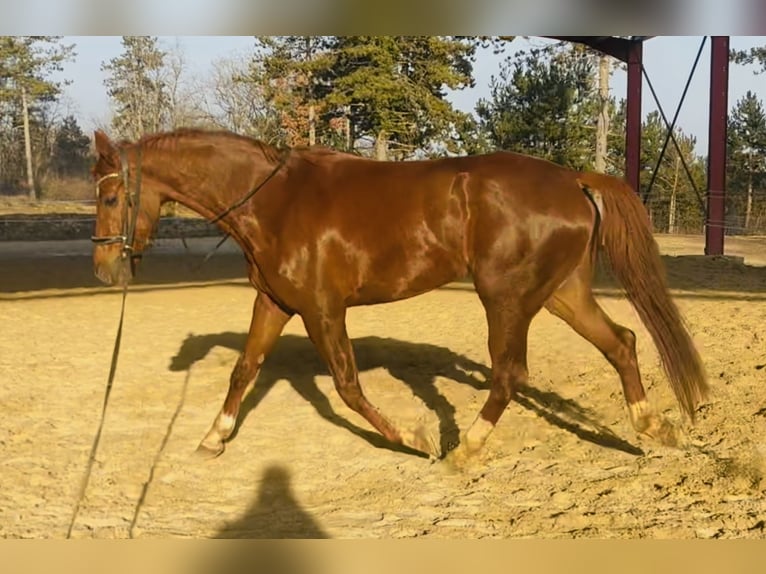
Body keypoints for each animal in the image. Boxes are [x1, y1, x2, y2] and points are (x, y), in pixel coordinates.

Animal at [90, 128, 708, 465]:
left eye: (112, 196)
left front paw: (415, 438)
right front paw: (213, 439)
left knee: (510, 373)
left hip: (505, 297)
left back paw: (464, 451)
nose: (102, 268)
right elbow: (245, 369)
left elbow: (346, 386)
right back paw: (655, 428)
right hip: (563, 294)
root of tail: (571, 179)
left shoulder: (321, 309)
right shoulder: (275, 304)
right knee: (622, 342)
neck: (274, 202)